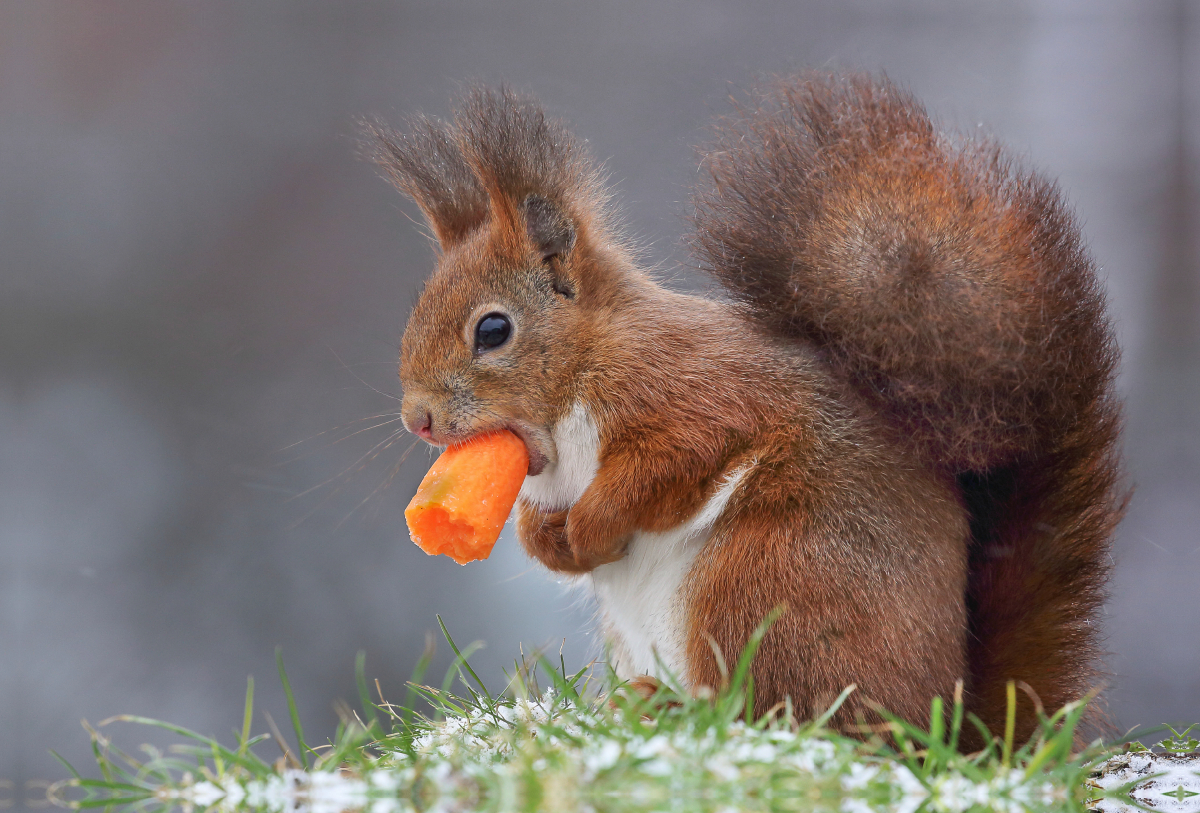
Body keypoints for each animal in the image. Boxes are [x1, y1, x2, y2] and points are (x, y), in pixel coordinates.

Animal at [364, 73, 1123, 748]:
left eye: (493, 330)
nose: (417, 419)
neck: (579, 378)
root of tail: (945, 724)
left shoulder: (694, 395)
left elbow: (663, 466)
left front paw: (590, 525)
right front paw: (546, 538)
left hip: (766, 582)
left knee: (781, 710)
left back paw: (673, 705)